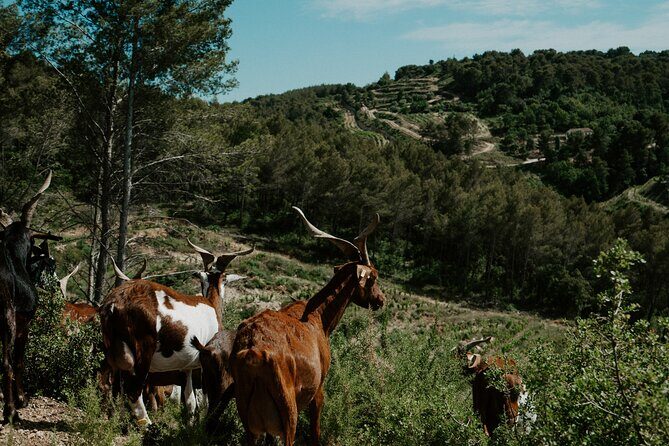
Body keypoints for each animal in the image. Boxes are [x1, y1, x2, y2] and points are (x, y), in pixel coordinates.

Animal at [99, 240, 252, 425]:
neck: (210, 304)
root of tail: (114, 302)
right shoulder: (204, 364)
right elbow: (205, 400)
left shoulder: (187, 368)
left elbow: (190, 400)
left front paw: (190, 422)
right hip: (143, 352)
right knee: (133, 391)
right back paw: (148, 424)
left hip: (114, 353)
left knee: (115, 388)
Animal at [230, 207, 385, 445]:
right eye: (373, 277)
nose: (381, 300)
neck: (318, 318)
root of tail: (253, 353)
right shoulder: (319, 388)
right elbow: (315, 431)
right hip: (288, 413)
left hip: (248, 417)